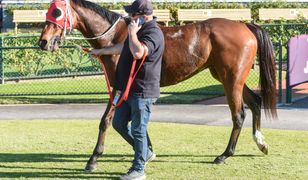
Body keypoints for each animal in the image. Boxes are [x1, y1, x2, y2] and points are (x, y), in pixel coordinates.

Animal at [38, 0, 276, 172]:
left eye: (57, 12)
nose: (43, 42)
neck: (117, 37)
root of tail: (245, 26)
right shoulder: (130, 90)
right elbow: (131, 123)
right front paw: (148, 151)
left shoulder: (119, 86)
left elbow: (107, 122)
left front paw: (93, 159)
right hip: (228, 77)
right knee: (255, 101)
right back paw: (261, 142)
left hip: (231, 79)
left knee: (238, 115)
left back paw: (224, 155)